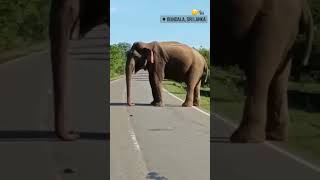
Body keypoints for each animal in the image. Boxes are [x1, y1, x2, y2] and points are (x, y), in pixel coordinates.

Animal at [212, 0, 312, 143]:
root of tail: (303, 4)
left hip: (273, 21)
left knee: (259, 73)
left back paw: (244, 139)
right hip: (285, 28)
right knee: (280, 78)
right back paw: (274, 137)